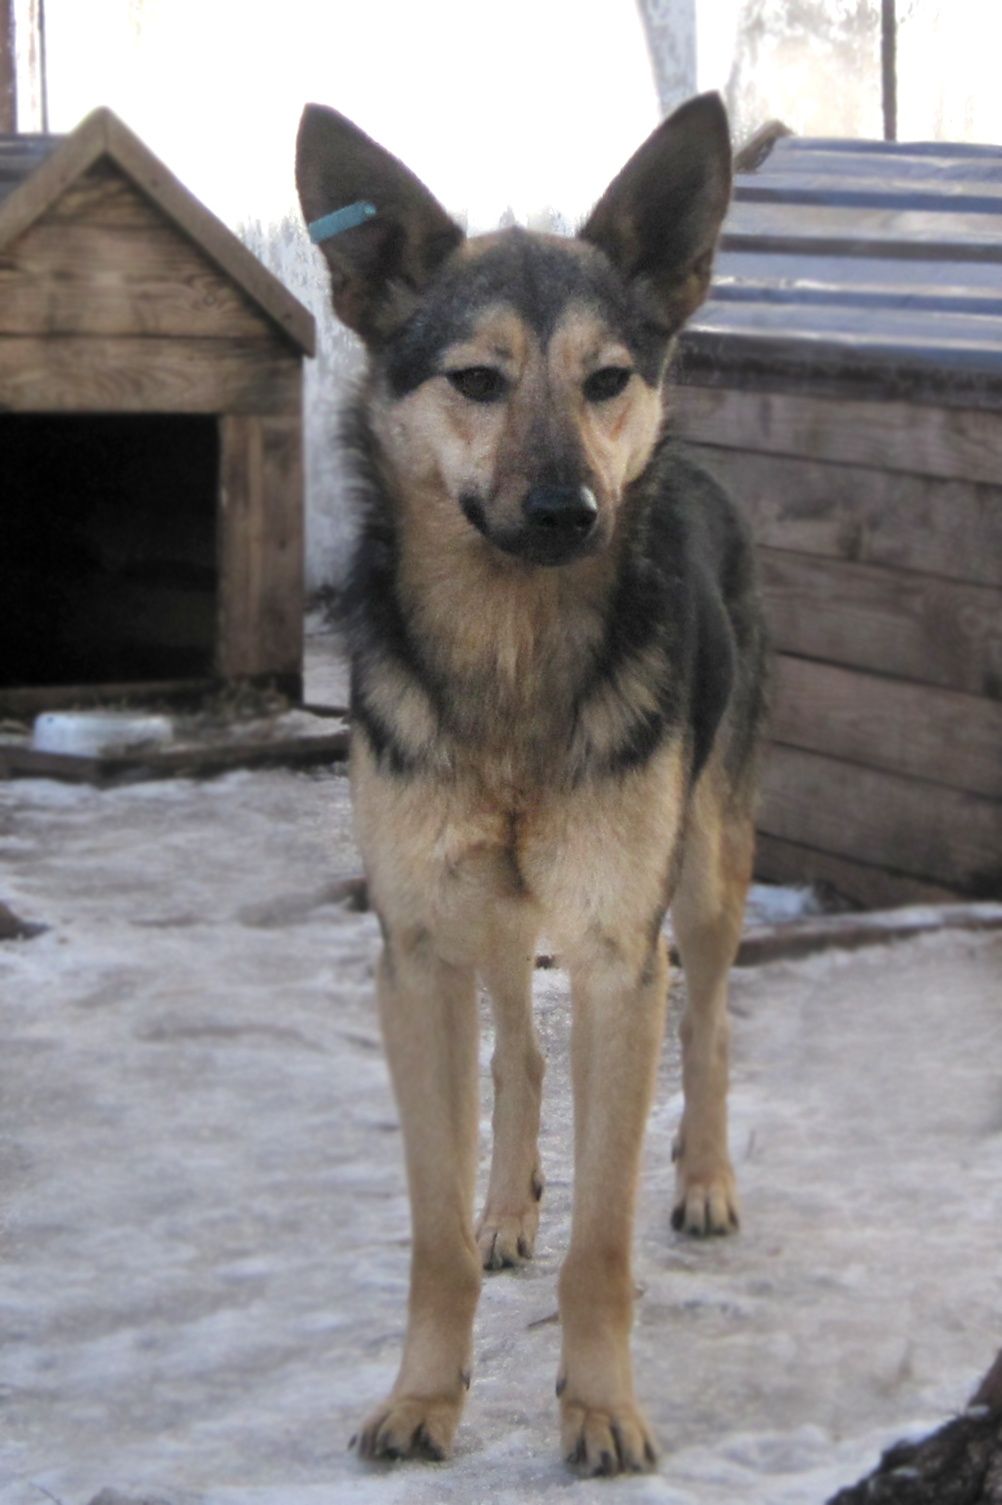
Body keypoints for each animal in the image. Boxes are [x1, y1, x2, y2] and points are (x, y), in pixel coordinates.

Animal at [296, 97, 764, 1480]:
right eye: (477, 380)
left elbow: (601, 1241)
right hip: (493, 916)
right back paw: (508, 1204)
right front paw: (424, 1391)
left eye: (607, 379)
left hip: (707, 874)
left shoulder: (619, 952)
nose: (570, 511)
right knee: (518, 1051)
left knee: (711, 1021)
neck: (510, 659)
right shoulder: (417, 952)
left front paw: (600, 1406)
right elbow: (435, 1227)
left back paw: (705, 1177)